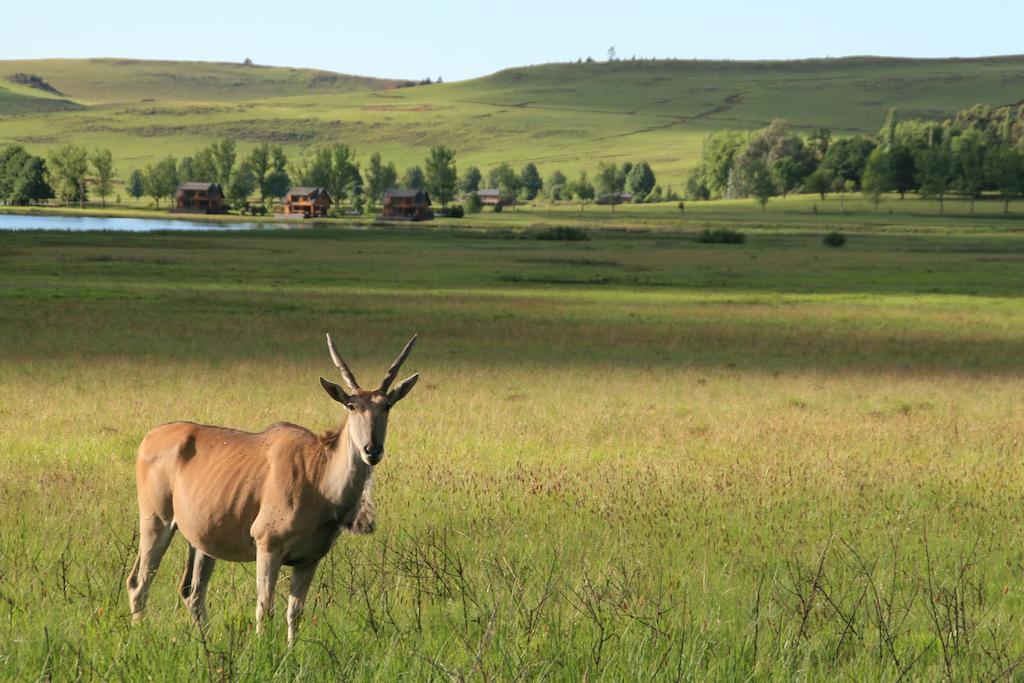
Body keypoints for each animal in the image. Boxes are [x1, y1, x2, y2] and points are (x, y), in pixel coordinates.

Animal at [124, 335, 419, 647]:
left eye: (387, 406)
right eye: (351, 406)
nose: (372, 450)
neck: (319, 478)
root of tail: (150, 437)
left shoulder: (309, 559)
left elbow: (295, 612)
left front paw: (290, 650)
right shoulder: (267, 546)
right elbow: (265, 608)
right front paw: (262, 649)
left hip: (202, 541)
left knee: (192, 592)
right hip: (156, 521)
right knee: (139, 583)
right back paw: (141, 635)